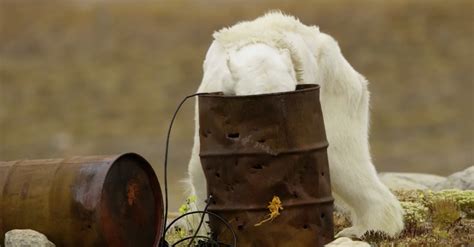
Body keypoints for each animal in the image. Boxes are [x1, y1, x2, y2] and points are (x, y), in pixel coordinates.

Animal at [185, 11, 404, 237]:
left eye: (286, 96)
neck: (257, 43)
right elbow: (200, 169)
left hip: (336, 100)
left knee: (344, 162)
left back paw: (365, 230)